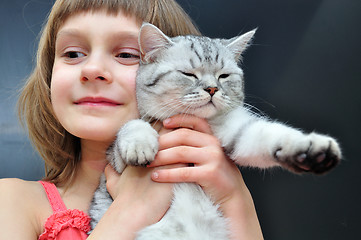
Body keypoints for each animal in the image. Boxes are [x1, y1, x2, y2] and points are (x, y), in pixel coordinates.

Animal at [89, 23, 340, 240]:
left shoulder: (238, 130)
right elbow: (133, 125)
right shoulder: (116, 162)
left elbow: (269, 134)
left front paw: (311, 148)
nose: (212, 89)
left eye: (224, 76)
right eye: (189, 74)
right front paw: (140, 144)